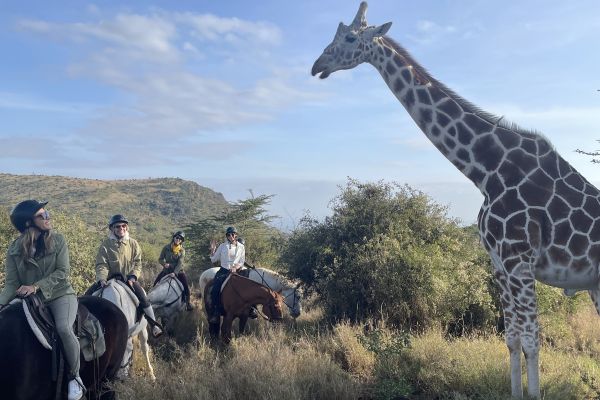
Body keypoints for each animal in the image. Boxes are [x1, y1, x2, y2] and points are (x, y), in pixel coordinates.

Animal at [312, 1, 600, 398]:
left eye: (351, 38)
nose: (317, 65)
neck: (486, 170)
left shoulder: (519, 261)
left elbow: (531, 341)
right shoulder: (499, 264)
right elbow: (512, 339)